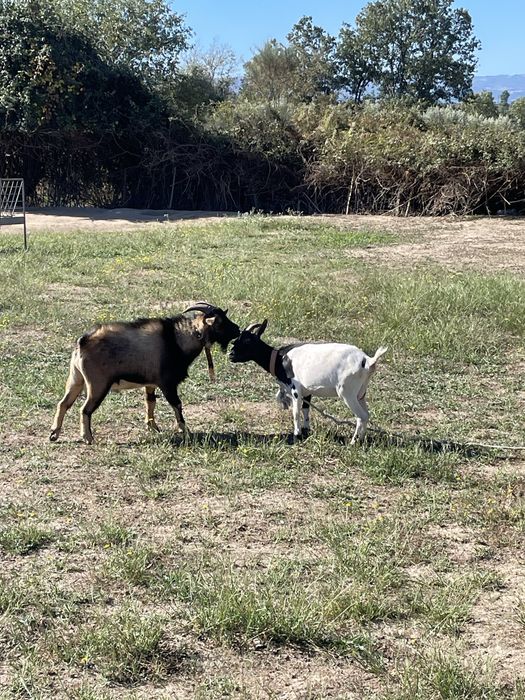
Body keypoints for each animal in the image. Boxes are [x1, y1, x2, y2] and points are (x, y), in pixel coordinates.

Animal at [49, 302, 240, 444]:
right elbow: (177, 405)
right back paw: (88, 438)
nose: (237, 330)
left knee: (63, 403)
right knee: (85, 409)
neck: (176, 339)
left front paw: (153, 427)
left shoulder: (150, 383)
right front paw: (185, 430)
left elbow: (150, 403)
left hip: (76, 379)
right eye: (220, 322)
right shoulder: (167, 383)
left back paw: (54, 434)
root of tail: (83, 342)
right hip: (97, 384)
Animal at [229, 320, 387, 444]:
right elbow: (306, 409)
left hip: (347, 392)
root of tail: (368, 361)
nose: (231, 355)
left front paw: (297, 434)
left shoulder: (296, 389)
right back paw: (362, 439)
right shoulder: (308, 391)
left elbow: (296, 412)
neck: (280, 359)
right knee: (366, 415)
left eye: (248, 341)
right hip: (361, 393)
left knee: (361, 416)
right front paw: (306, 430)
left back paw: (354, 442)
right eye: (237, 339)